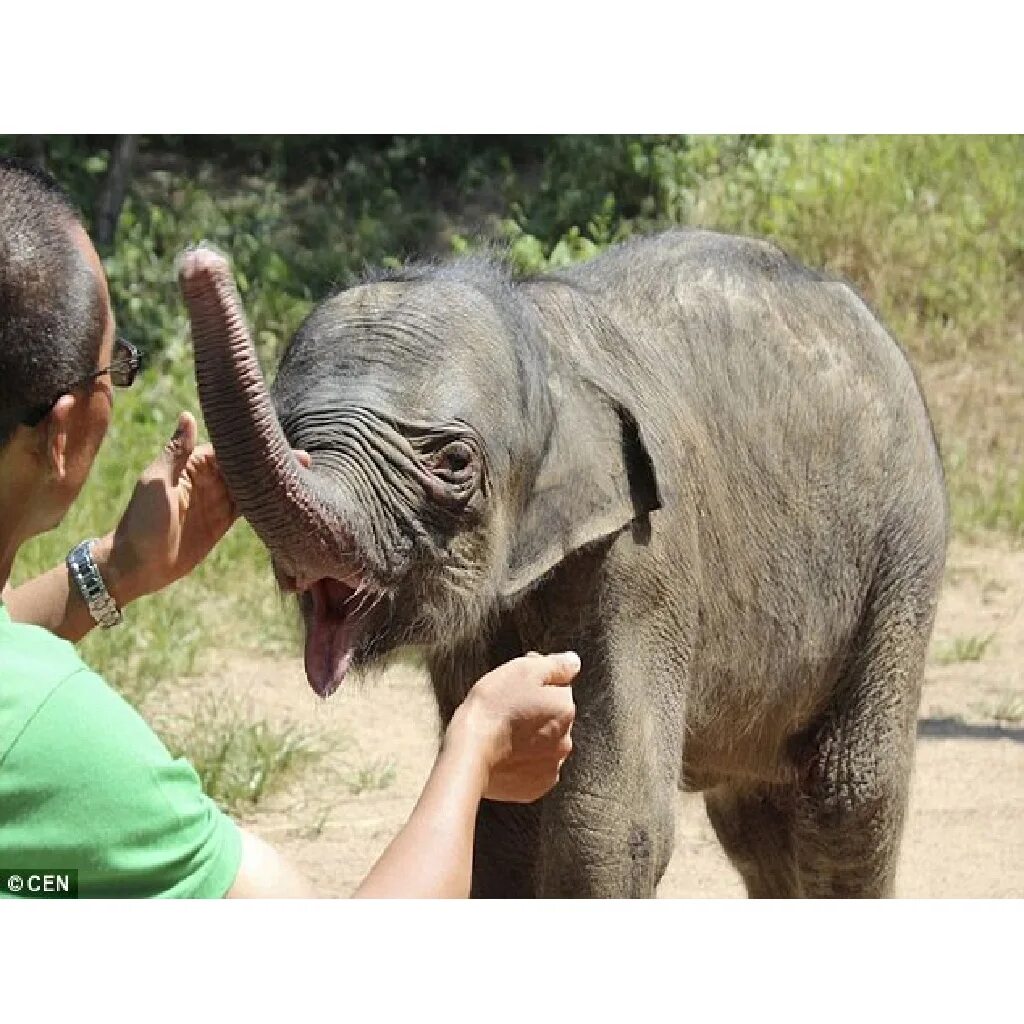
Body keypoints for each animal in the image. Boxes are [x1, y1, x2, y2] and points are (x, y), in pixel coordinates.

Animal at [182, 230, 942, 897]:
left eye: (453, 462)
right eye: (291, 436)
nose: (198, 260)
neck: (542, 344)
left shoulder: (644, 555)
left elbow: (611, 825)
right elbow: (499, 818)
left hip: (902, 551)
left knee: (848, 797)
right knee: (753, 821)